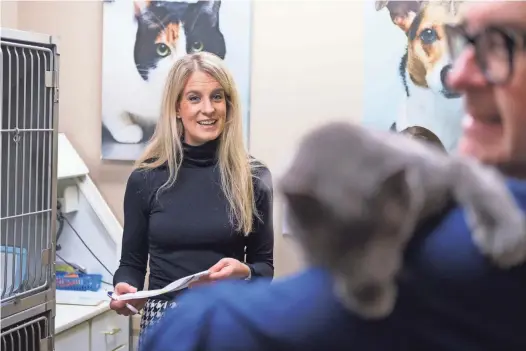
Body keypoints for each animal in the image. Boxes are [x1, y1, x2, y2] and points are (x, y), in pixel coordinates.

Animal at [282, 122, 526, 320]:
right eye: (337, 250)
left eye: (390, 231)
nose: (370, 284)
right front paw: (369, 297)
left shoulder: (442, 170)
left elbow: (478, 185)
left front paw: (504, 239)